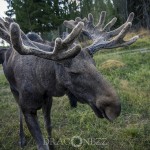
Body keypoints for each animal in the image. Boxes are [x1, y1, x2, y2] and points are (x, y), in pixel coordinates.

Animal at [0, 12, 138, 150]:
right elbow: (41, 143)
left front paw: (52, 146)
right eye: (72, 72)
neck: (42, 85)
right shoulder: (28, 108)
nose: (114, 108)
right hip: (14, 90)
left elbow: (48, 126)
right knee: (18, 111)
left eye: (94, 64)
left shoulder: (48, 100)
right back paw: (22, 138)